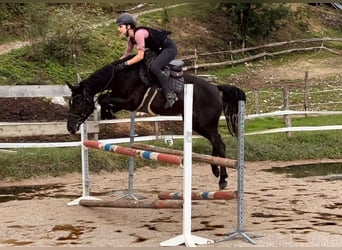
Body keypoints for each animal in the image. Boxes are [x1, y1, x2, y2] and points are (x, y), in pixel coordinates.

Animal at [65, 56, 244, 189]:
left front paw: (107, 114)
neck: (121, 76)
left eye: (79, 102)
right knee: (216, 142)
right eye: (70, 102)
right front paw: (107, 113)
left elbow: (104, 99)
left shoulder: (131, 101)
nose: (70, 127)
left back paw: (222, 179)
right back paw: (215, 170)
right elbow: (105, 99)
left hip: (204, 123)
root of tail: (216, 88)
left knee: (220, 143)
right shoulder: (123, 101)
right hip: (197, 124)